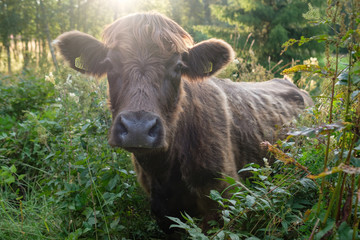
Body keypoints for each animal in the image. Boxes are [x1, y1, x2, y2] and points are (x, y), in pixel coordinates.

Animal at [55, 11, 312, 234]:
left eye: (178, 67)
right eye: (109, 64)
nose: (138, 128)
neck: (165, 170)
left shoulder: (224, 197)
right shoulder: (162, 210)